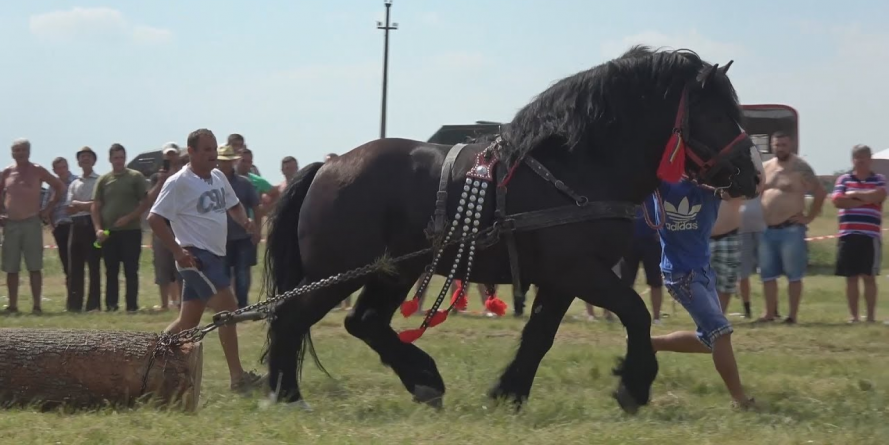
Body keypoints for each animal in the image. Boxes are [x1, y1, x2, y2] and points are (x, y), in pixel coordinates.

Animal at [260, 45, 760, 412]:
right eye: (718, 114)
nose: (751, 175)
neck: (577, 168)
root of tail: (326, 167)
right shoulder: (580, 271)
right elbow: (635, 312)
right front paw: (633, 386)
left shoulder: (562, 280)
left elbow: (539, 335)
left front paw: (509, 392)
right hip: (339, 271)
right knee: (290, 317)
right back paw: (288, 395)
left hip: (392, 271)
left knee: (361, 321)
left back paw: (423, 380)